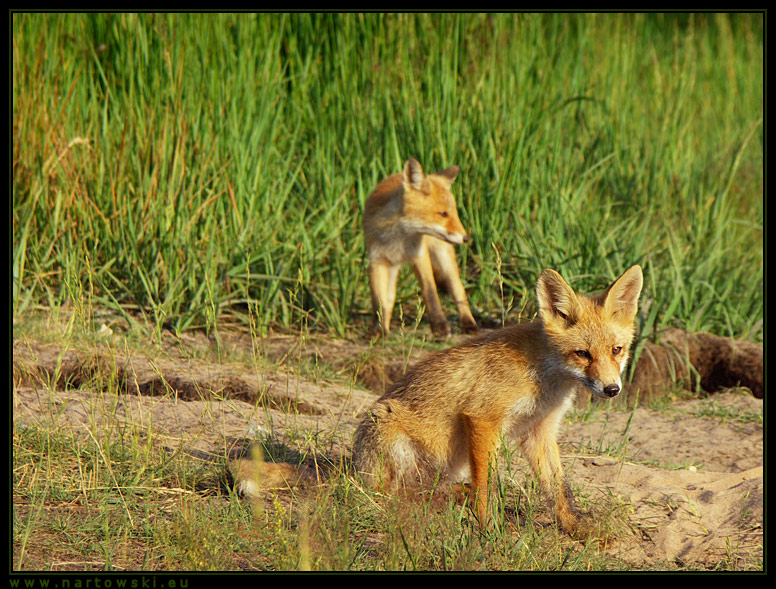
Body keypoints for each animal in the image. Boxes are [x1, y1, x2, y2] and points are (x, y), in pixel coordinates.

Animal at [352, 264, 644, 536]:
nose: (612, 389)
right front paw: (489, 529)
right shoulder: (482, 418)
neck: (543, 378)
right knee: (391, 494)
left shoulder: (539, 431)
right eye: (582, 354)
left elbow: (559, 489)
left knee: (425, 489)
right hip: (389, 432)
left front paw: (574, 528)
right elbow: (486, 485)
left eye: (616, 350)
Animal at [364, 157, 478, 340]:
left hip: (443, 257)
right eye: (443, 214)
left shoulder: (419, 255)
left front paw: (440, 328)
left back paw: (469, 322)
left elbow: (430, 292)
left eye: (454, 213)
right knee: (390, 297)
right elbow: (379, 302)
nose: (466, 238)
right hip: (393, 267)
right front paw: (378, 330)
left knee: (458, 290)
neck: (396, 238)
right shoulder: (376, 261)